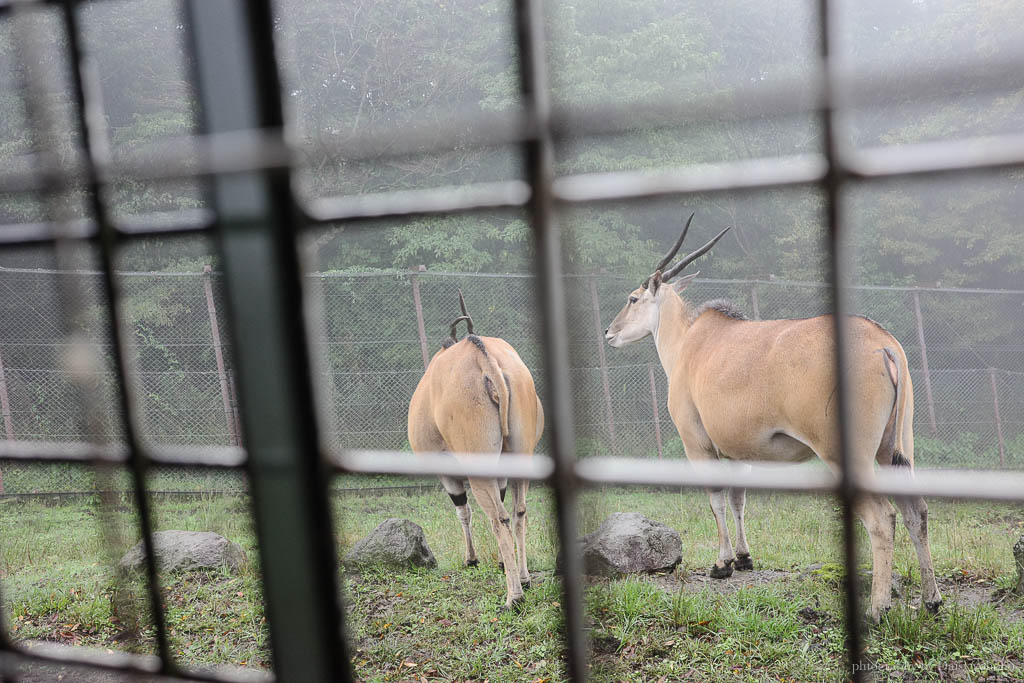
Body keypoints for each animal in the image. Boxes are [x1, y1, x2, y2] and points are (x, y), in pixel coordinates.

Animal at [405, 290, 544, 610]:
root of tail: (482, 354)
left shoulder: (447, 472)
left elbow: (463, 511)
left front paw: (471, 559)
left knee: (499, 519)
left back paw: (513, 596)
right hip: (519, 459)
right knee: (518, 511)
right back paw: (524, 578)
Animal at [598, 216, 942, 622]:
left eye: (633, 298)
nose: (609, 332)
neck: (691, 342)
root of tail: (882, 344)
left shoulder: (698, 444)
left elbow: (716, 500)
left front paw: (722, 564)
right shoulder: (738, 452)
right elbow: (738, 500)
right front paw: (744, 558)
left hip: (847, 455)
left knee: (882, 518)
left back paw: (878, 608)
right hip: (895, 449)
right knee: (916, 512)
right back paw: (932, 600)